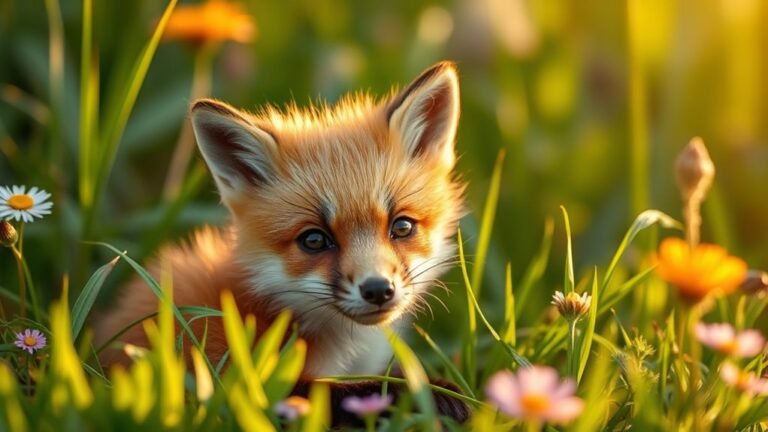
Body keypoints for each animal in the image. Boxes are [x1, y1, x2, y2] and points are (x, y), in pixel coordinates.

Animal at [96, 61, 469, 423]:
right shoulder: (250, 386)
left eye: (402, 226)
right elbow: (361, 391)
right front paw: (445, 397)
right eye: (314, 239)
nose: (378, 290)